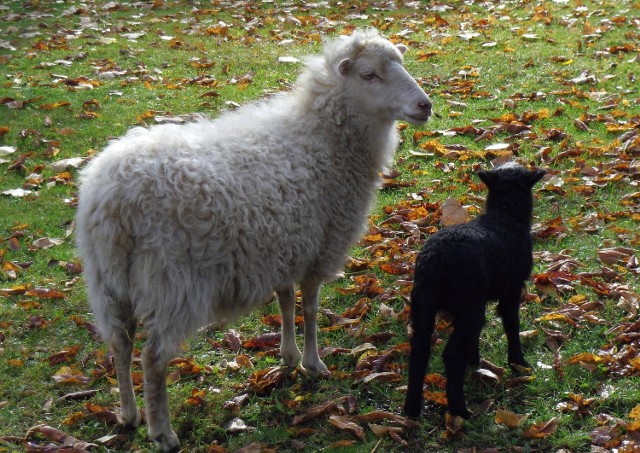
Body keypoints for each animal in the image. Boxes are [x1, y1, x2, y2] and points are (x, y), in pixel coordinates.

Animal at [77, 29, 432, 452]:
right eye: (369, 75)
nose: (425, 105)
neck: (323, 141)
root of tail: (111, 196)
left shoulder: (284, 247)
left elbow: (285, 303)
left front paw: (288, 357)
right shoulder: (319, 249)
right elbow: (310, 309)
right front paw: (313, 363)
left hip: (108, 280)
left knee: (119, 343)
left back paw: (129, 415)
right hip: (171, 282)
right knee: (153, 358)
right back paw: (162, 432)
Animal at [404, 162, 544, 416]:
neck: (505, 214)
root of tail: (436, 261)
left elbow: (478, 330)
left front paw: (475, 360)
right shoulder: (512, 288)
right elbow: (511, 324)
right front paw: (519, 363)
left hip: (424, 304)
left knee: (419, 350)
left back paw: (411, 409)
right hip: (467, 305)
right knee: (451, 355)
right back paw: (460, 410)